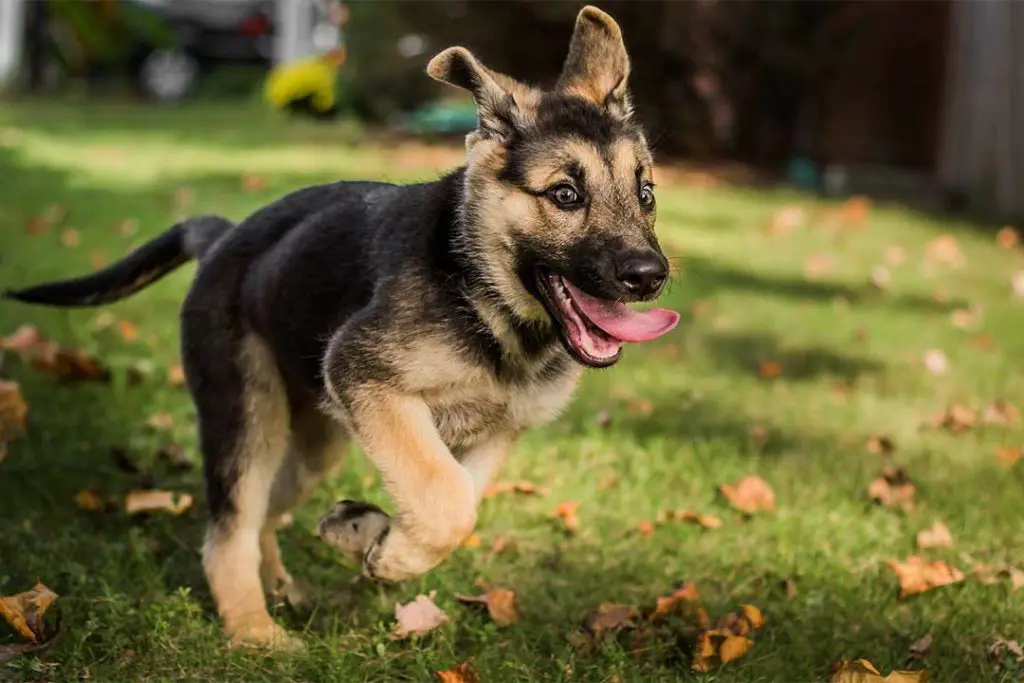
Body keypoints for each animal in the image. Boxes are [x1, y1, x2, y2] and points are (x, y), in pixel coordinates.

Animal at [9, 5, 679, 647]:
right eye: (565, 195)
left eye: (646, 194)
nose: (650, 276)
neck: (483, 295)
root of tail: (224, 237)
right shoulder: (365, 373)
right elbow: (446, 500)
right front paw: (388, 555)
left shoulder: (496, 431)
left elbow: (456, 498)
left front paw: (376, 539)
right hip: (248, 415)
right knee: (230, 529)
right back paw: (256, 633)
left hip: (314, 442)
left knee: (267, 513)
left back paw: (286, 583)